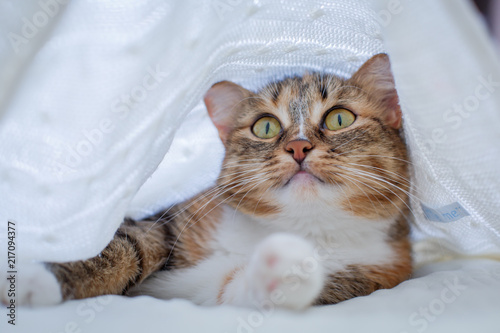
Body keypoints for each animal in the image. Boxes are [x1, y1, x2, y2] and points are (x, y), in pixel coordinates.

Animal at [1, 52, 412, 308]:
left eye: (339, 118)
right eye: (265, 126)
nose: (298, 146)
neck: (299, 226)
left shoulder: (377, 269)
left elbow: (236, 292)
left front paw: (282, 271)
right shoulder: (171, 222)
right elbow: (124, 246)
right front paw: (34, 279)